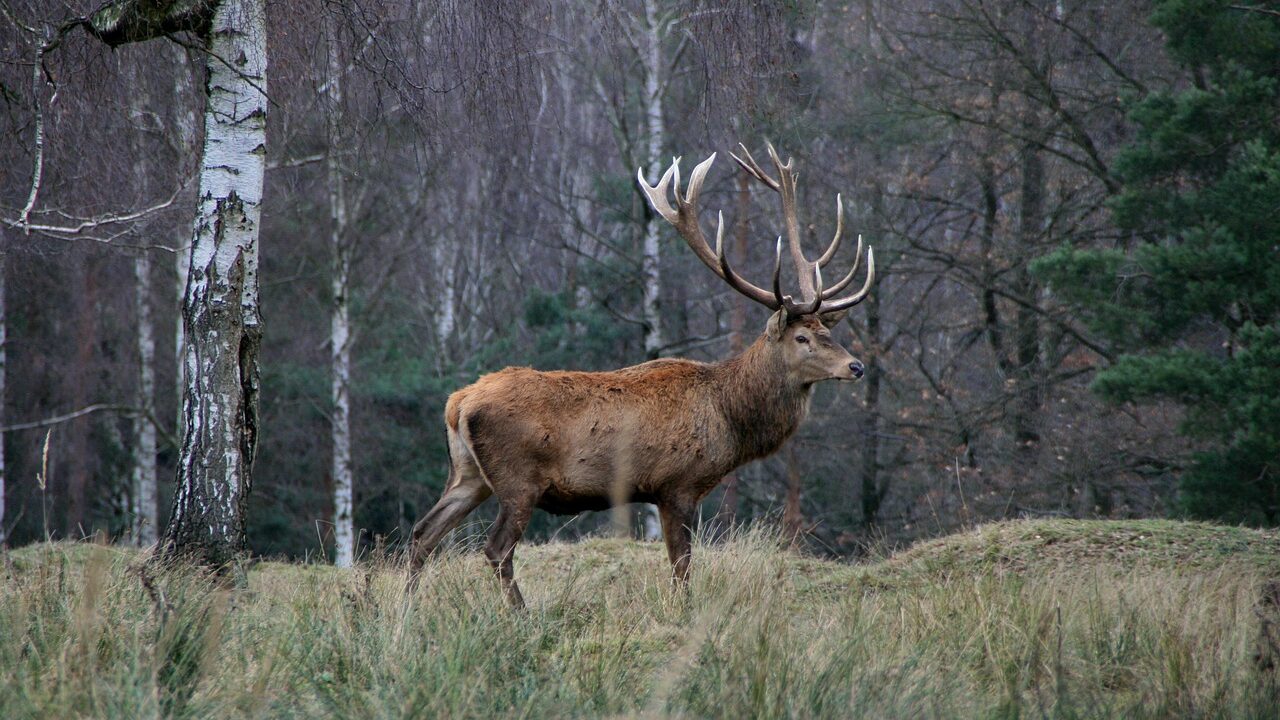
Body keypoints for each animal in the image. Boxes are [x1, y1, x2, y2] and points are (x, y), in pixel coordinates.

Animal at [407, 143, 875, 608]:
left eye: (829, 331)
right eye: (801, 337)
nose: (856, 366)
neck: (730, 418)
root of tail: (458, 404)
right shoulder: (677, 484)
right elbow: (682, 567)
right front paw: (682, 611)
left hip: (468, 474)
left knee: (422, 533)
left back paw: (407, 609)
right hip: (518, 479)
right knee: (496, 548)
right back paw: (519, 614)